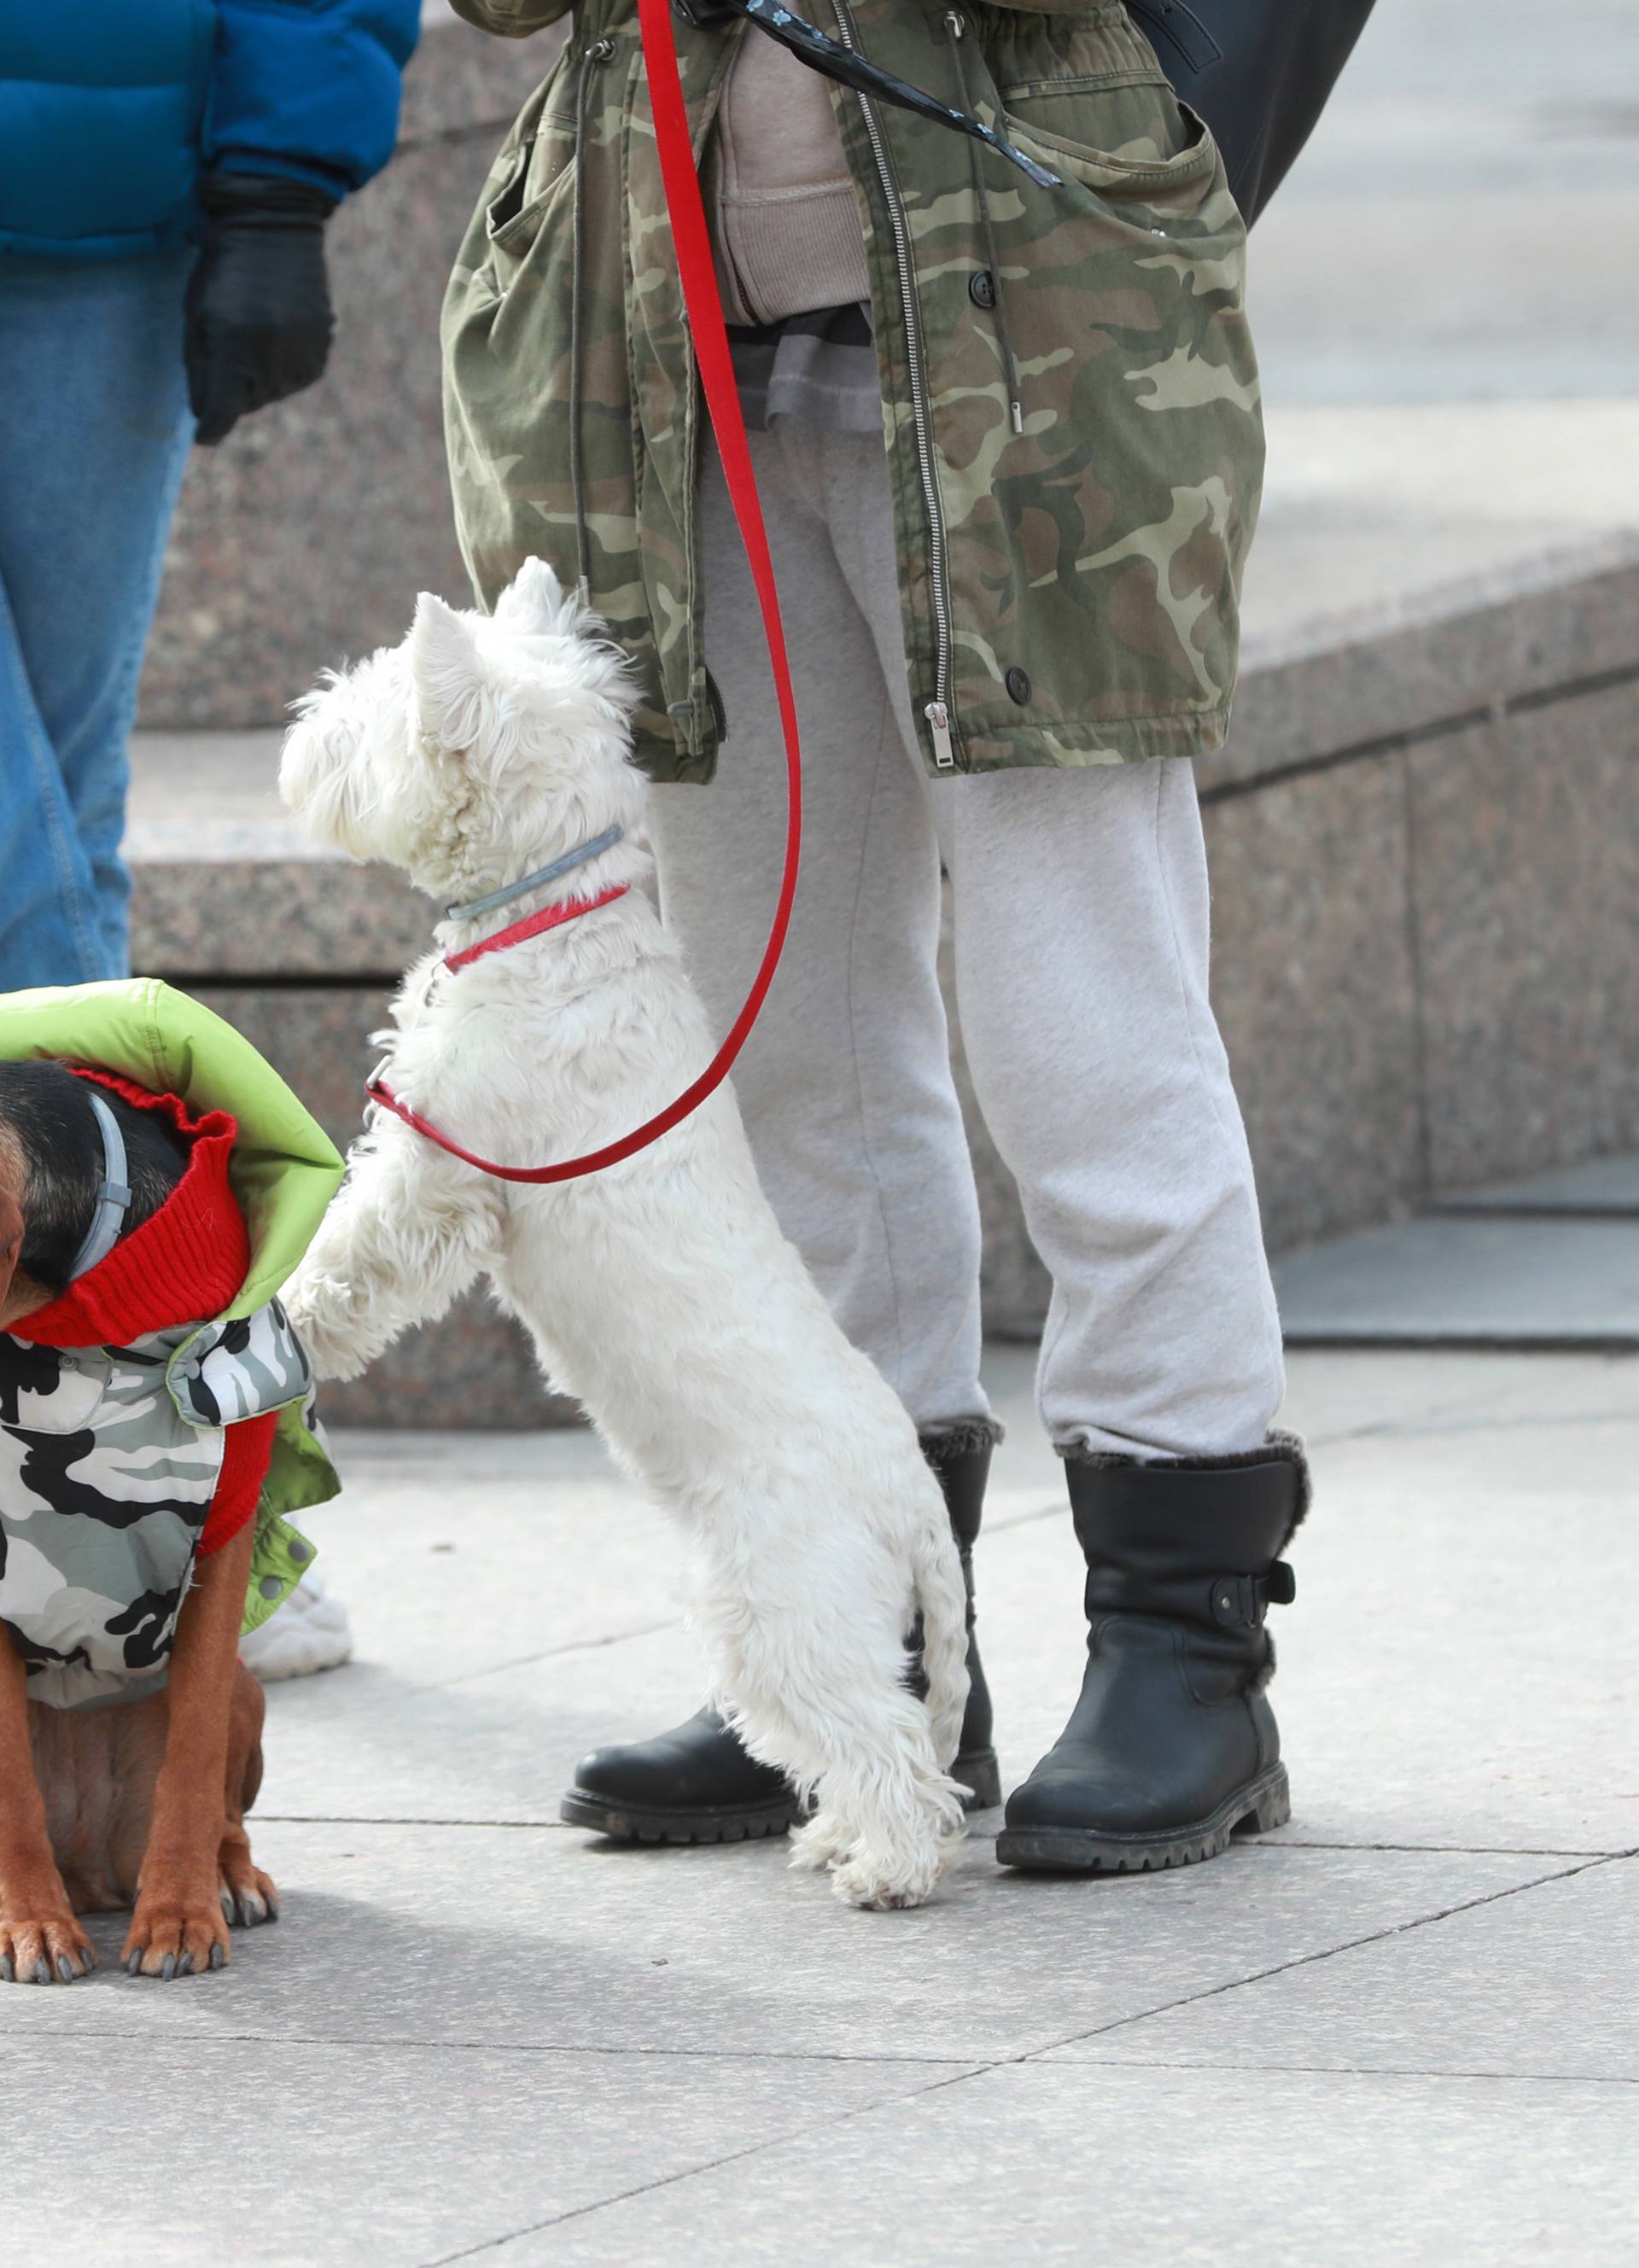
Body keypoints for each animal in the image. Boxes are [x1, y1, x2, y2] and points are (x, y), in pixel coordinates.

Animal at [278, 557, 974, 1904]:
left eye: (373, 703)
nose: (294, 738)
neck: (554, 916)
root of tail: (912, 1495)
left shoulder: (445, 1164)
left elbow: (362, 1248)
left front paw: (291, 1319)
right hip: (797, 1611)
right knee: (860, 1727)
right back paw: (832, 1837)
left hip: (784, 1602)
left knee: (890, 1742)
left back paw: (886, 1869)